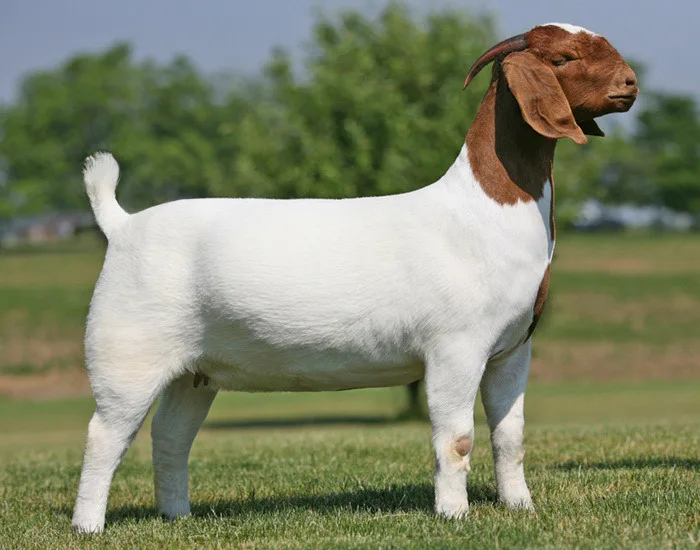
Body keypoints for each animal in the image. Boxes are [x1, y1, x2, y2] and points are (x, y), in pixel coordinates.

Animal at [71, 23, 638, 532]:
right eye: (563, 57)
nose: (630, 83)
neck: (483, 211)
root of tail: (122, 224)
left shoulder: (512, 348)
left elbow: (510, 436)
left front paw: (521, 508)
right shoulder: (456, 346)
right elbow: (456, 438)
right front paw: (454, 514)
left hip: (195, 371)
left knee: (170, 436)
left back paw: (178, 516)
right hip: (128, 351)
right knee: (105, 434)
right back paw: (89, 526)